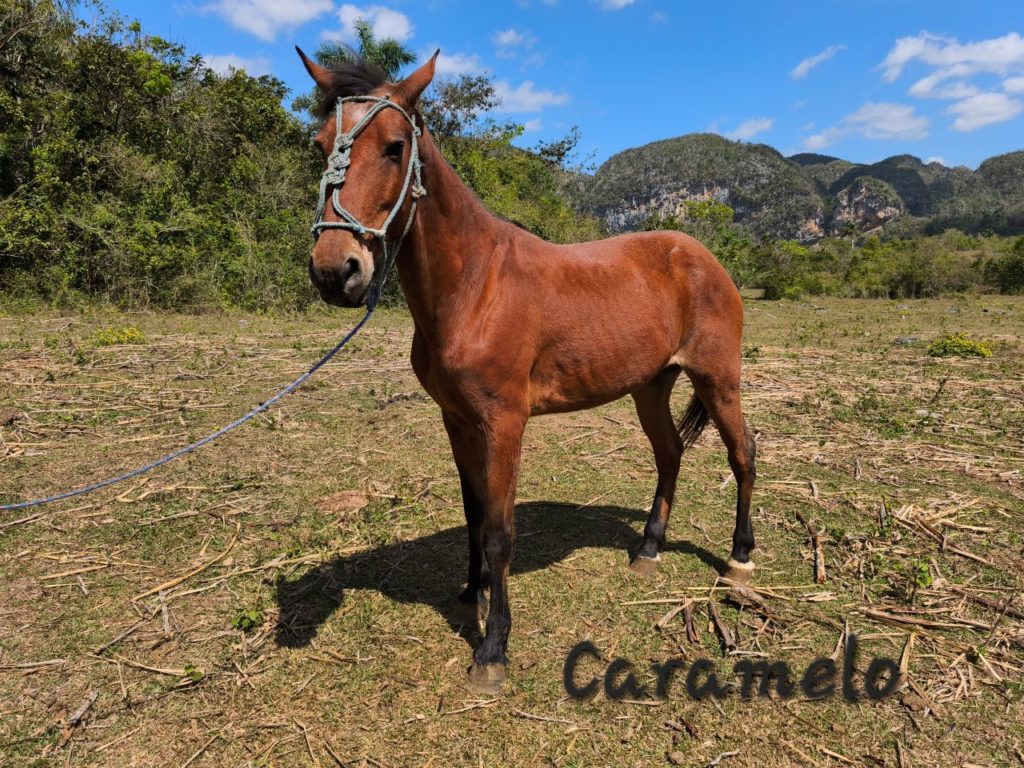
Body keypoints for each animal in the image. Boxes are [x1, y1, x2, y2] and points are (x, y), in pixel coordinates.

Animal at [296, 49, 757, 694]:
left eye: (393, 147)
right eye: (319, 144)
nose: (336, 272)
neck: (474, 285)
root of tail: (703, 257)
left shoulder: (505, 422)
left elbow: (499, 530)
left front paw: (492, 650)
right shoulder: (457, 419)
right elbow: (473, 512)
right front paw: (471, 592)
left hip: (718, 379)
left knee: (743, 455)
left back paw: (739, 561)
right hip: (651, 386)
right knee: (670, 453)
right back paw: (648, 550)